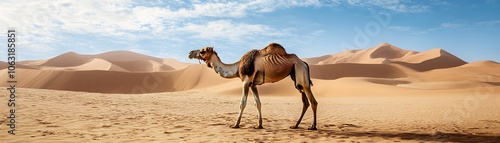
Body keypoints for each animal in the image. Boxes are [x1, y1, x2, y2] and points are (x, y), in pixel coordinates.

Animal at [189, 42, 318, 130]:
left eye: (202, 51)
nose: (190, 53)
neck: (238, 67)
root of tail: (304, 63)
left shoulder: (246, 81)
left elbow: (242, 103)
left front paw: (235, 125)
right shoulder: (253, 85)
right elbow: (258, 103)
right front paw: (259, 125)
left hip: (302, 75)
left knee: (313, 101)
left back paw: (313, 126)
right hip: (296, 79)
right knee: (305, 102)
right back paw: (295, 125)